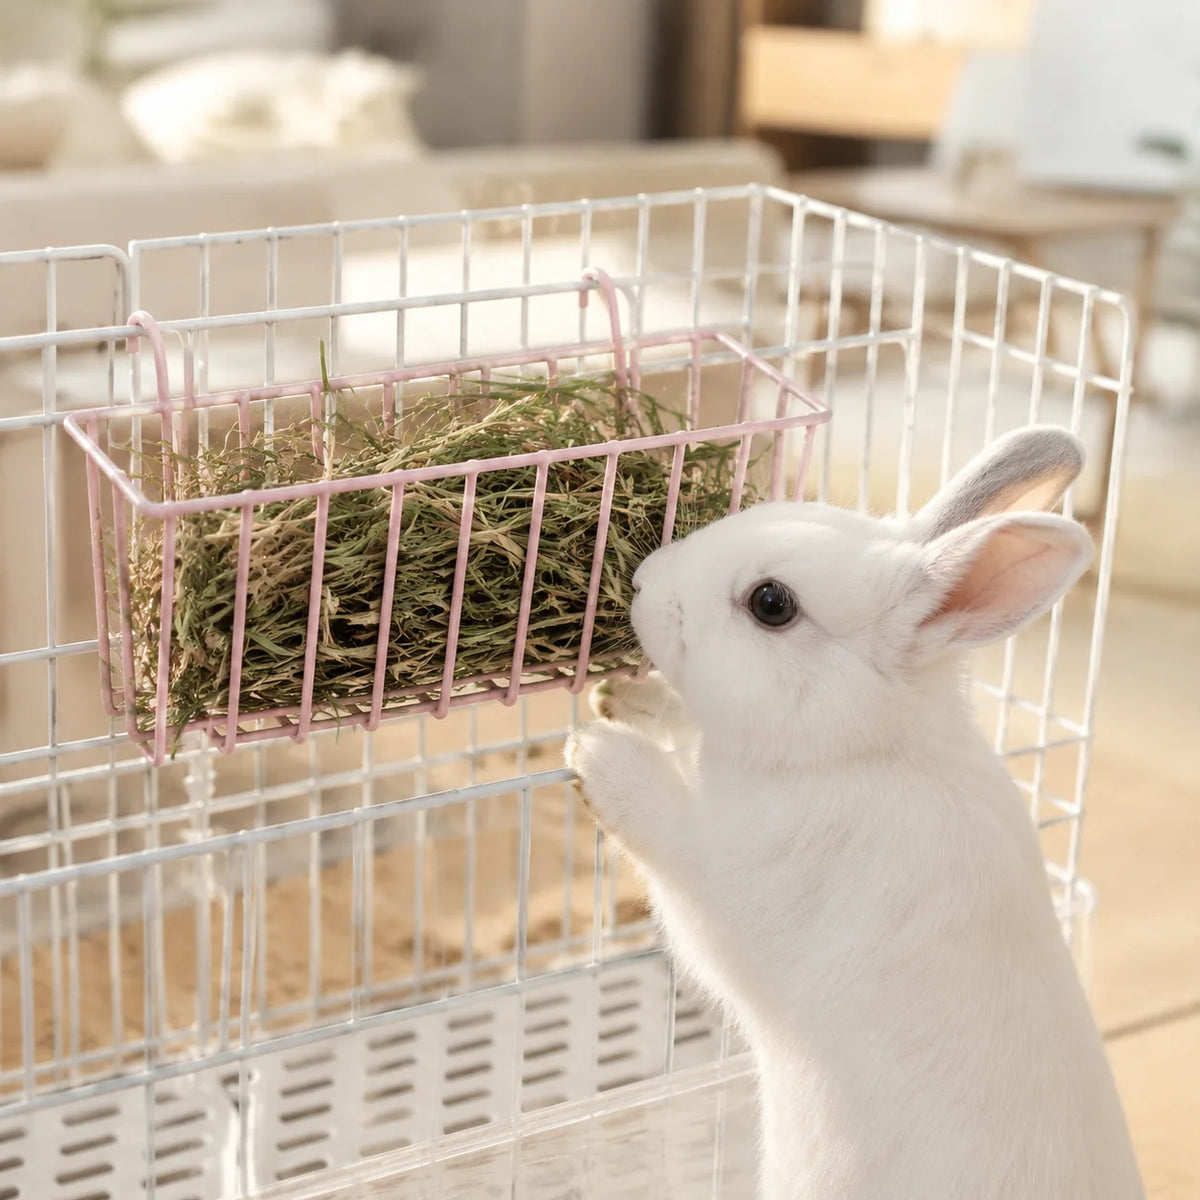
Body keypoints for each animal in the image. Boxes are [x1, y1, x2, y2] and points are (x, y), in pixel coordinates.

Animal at [566, 426, 1144, 1200]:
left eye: (772, 603)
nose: (643, 582)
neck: (860, 750)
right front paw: (622, 698)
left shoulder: (729, 884)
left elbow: (665, 824)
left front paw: (597, 750)